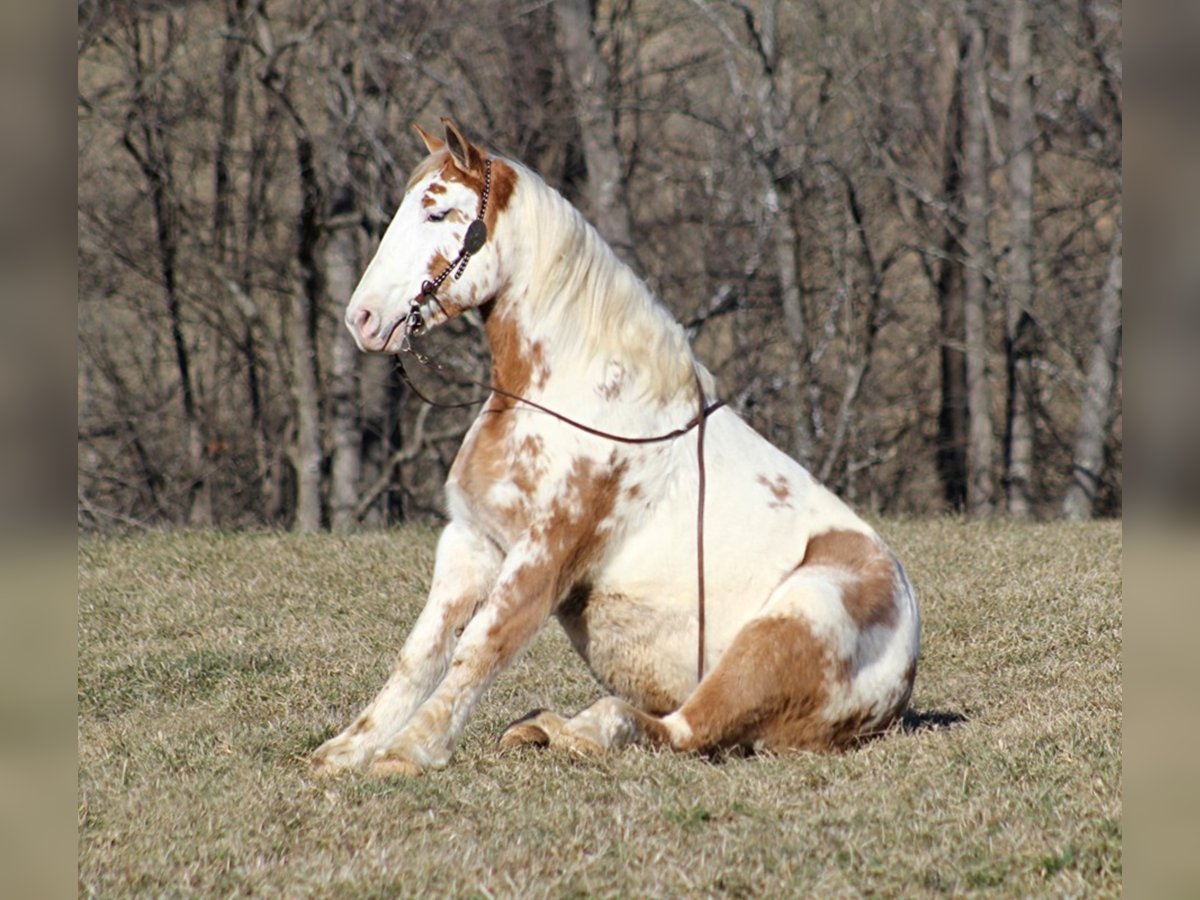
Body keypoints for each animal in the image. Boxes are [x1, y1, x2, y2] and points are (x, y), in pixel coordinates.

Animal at [309, 118, 916, 782]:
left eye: (439, 211)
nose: (362, 319)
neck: (574, 394)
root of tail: (899, 681)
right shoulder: (471, 542)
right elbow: (420, 653)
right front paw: (348, 750)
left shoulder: (543, 556)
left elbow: (481, 646)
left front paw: (408, 751)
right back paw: (540, 727)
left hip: (787, 626)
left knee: (680, 730)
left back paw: (574, 731)